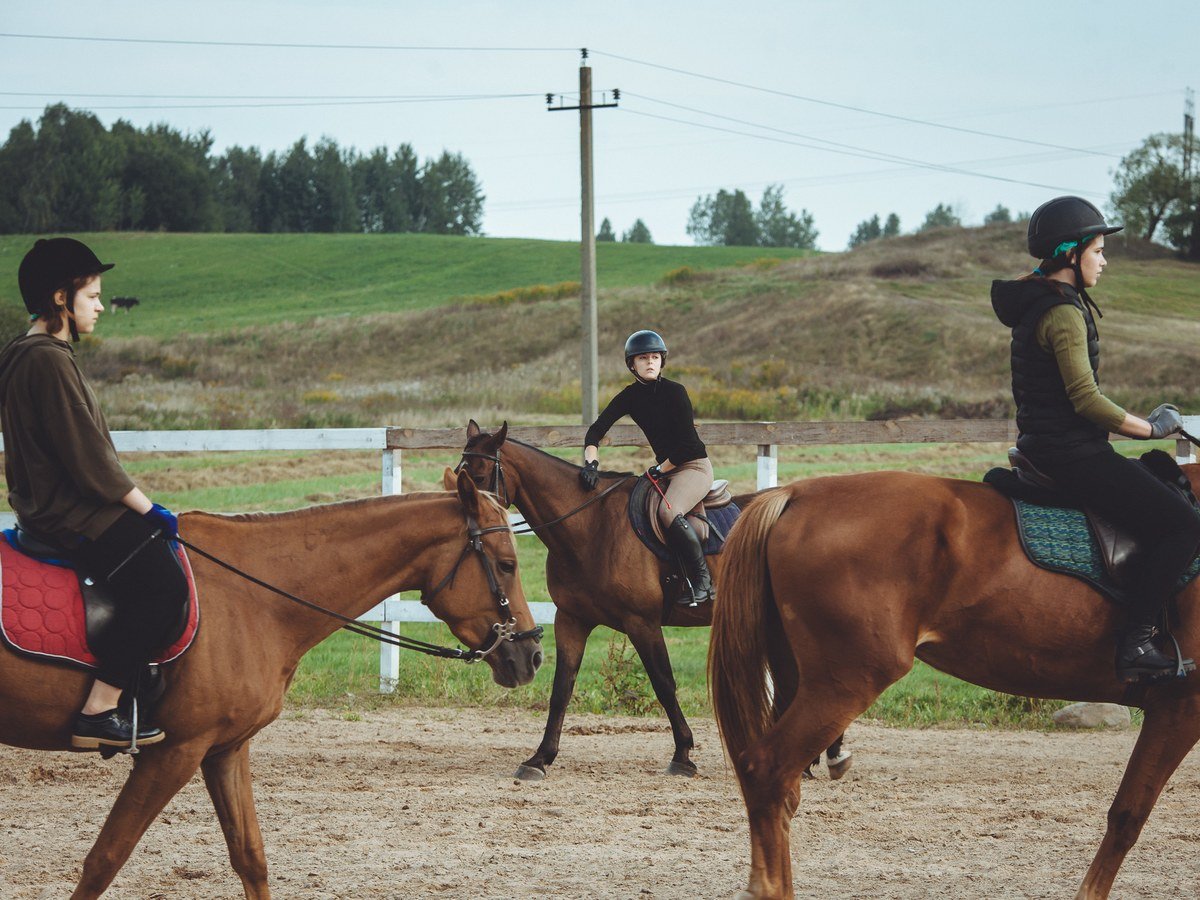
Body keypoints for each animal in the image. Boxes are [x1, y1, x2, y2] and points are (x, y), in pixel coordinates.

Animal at [0, 472, 544, 900]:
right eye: (507, 564)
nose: (533, 655)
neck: (254, 597)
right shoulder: (174, 751)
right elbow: (105, 859)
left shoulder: (224, 749)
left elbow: (250, 857)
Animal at [456, 422, 854, 782]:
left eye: (479, 475)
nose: (467, 535)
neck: (591, 525)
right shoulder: (571, 620)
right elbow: (561, 688)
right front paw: (539, 759)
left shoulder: (641, 622)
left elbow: (664, 684)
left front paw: (683, 755)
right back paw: (816, 758)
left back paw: (826, 756)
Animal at [710, 468, 1200, 897]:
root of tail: (798, 493)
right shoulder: (1179, 708)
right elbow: (1129, 813)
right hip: (844, 682)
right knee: (766, 769)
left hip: (800, 680)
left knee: (785, 790)